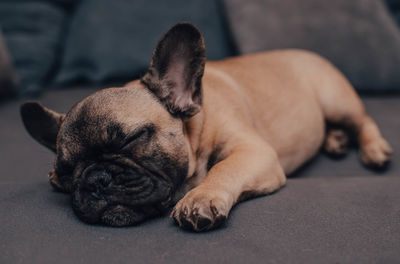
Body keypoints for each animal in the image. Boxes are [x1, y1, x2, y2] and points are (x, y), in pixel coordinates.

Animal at [20, 23, 392, 232]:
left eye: (132, 138)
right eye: (66, 171)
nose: (96, 180)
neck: (195, 128)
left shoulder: (252, 151)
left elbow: (223, 168)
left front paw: (201, 197)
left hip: (336, 98)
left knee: (364, 120)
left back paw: (374, 149)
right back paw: (335, 140)